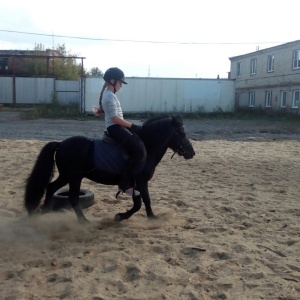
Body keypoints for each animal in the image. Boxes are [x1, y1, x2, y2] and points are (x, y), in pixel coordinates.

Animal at [24, 115, 196, 223]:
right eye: (181, 133)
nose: (192, 152)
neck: (148, 147)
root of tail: (61, 144)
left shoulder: (143, 182)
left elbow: (147, 200)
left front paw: (152, 217)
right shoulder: (137, 182)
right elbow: (138, 204)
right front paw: (120, 216)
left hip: (66, 176)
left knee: (51, 187)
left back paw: (44, 211)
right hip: (73, 177)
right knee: (72, 197)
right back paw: (83, 221)